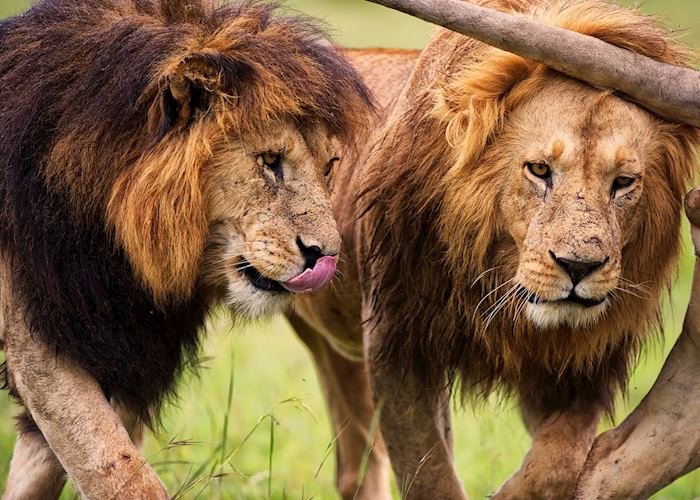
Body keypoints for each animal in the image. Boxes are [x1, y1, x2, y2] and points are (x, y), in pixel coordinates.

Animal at [0, 0, 371, 498]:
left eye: (330, 166)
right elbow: (120, 473)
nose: (326, 255)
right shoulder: (42, 346)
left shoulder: (129, 349)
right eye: (270, 161)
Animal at [288, 0, 700, 498]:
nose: (578, 267)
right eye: (539, 169)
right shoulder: (396, 341)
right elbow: (431, 475)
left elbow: (558, 460)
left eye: (623, 182)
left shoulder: (578, 365)